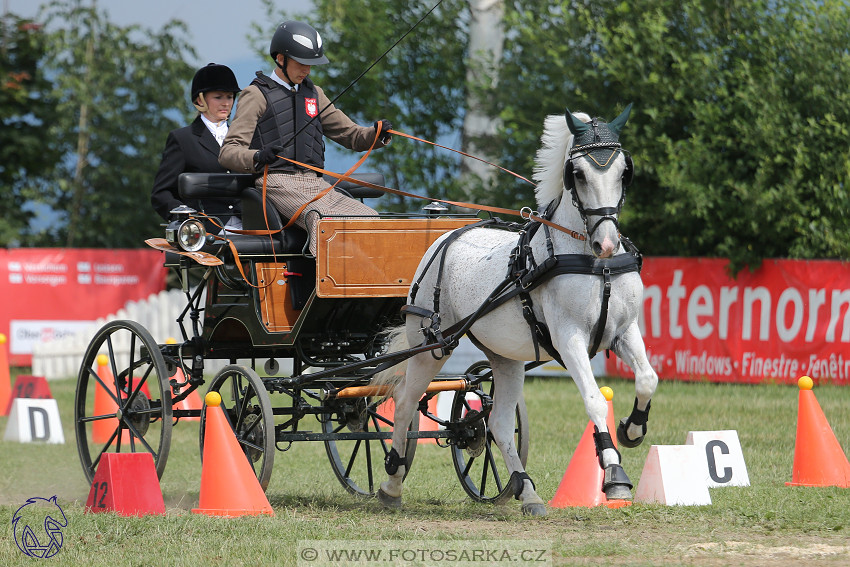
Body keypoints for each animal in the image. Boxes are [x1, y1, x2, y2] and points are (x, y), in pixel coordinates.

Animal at [374, 104, 660, 516]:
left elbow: (648, 379)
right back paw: (391, 483)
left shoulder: (624, 330)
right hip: (430, 347)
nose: (606, 243)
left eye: (624, 171)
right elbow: (593, 398)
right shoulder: (569, 339)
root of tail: (445, 236)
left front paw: (631, 429)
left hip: (504, 358)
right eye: (577, 173)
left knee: (496, 422)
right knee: (404, 405)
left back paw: (526, 491)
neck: (593, 263)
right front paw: (614, 473)